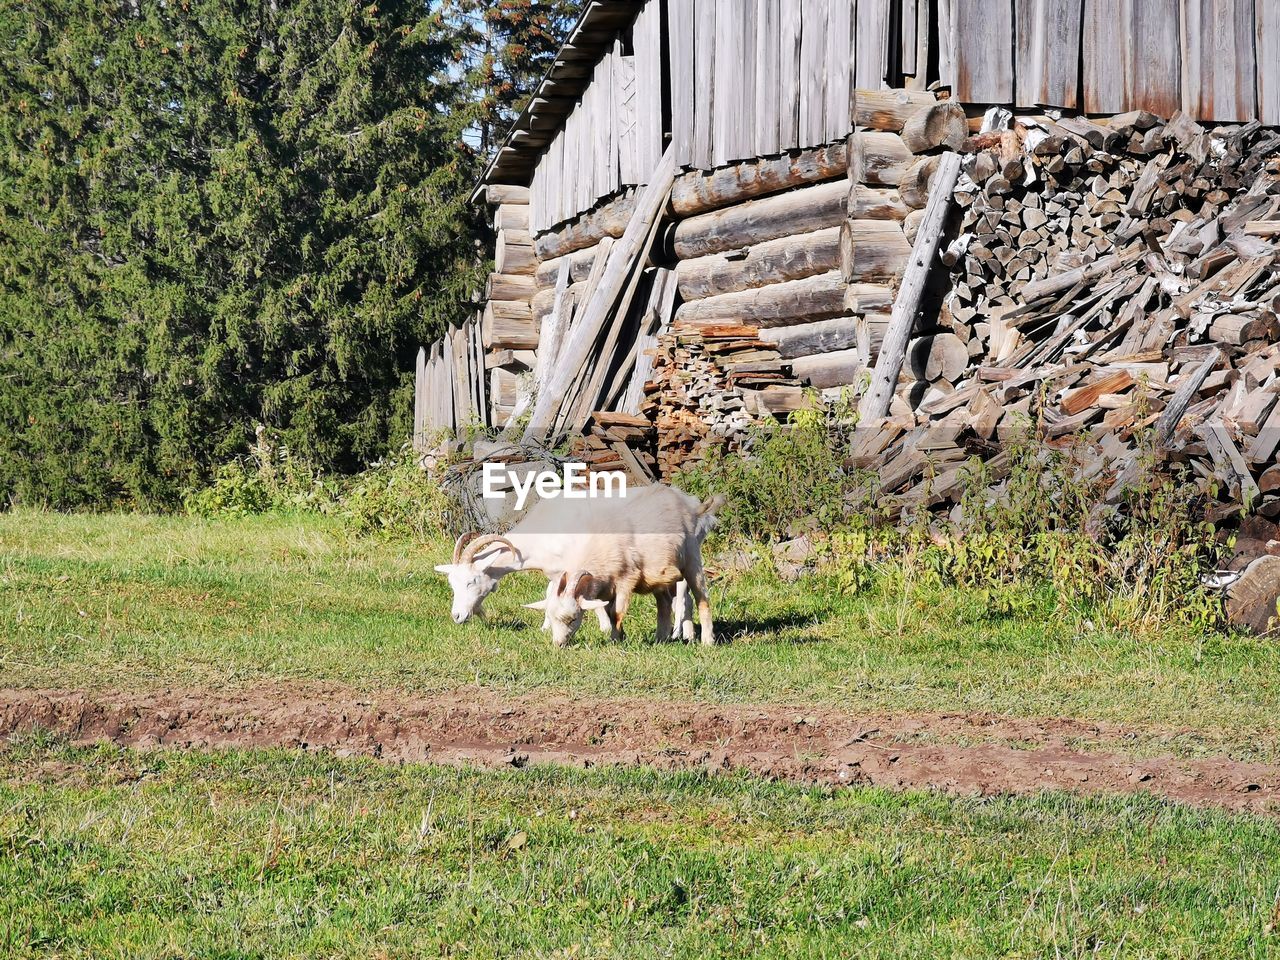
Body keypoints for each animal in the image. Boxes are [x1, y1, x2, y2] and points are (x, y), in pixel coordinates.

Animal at [519, 491, 721, 650]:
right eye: (551, 618)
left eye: (573, 619)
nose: (558, 644)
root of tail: (692, 506)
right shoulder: (606, 587)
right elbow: (608, 612)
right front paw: (619, 636)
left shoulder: (626, 579)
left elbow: (616, 613)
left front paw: (615, 640)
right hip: (659, 575)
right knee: (663, 603)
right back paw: (661, 639)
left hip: (691, 557)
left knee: (702, 598)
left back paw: (707, 641)